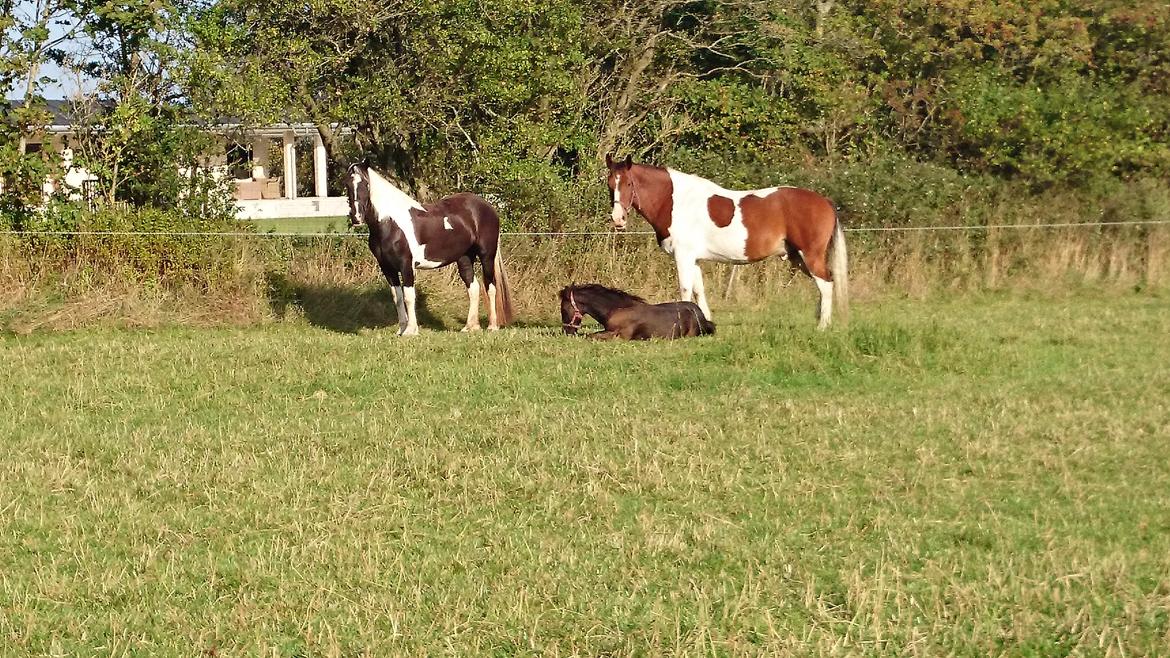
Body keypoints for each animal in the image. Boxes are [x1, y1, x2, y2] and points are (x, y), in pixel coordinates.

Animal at [343, 163, 514, 332]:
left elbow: (409, 297)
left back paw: (492, 326)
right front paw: (401, 329)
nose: (356, 217)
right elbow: (397, 298)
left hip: (487, 255)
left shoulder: (406, 265)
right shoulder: (387, 268)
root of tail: (487, 206)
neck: (391, 223)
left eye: (365, 184)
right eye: (347, 185)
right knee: (473, 288)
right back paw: (470, 327)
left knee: (490, 287)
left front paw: (411, 330)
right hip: (464, 258)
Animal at [603, 154, 851, 327]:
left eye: (628, 184)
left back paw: (822, 326)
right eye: (610, 185)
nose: (618, 219)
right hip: (798, 257)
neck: (675, 201)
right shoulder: (694, 259)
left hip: (809, 254)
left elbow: (685, 289)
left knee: (826, 284)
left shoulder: (683, 255)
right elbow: (699, 291)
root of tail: (825, 201)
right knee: (824, 284)